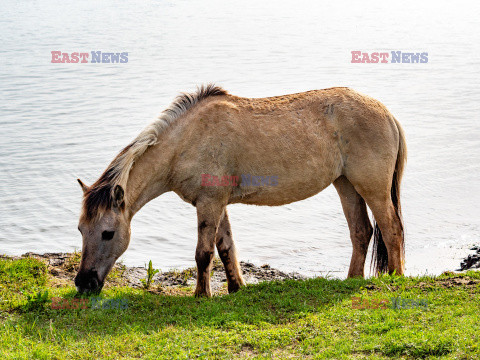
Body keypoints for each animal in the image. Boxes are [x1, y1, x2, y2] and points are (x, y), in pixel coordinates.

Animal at [74, 85, 404, 298]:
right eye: (80, 229)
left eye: (108, 233)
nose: (83, 283)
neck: (186, 141)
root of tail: (387, 114)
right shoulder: (215, 203)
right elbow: (225, 247)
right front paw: (235, 288)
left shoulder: (209, 203)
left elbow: (204, 253)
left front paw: (202, 295)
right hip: (346, 185)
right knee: (361, 231)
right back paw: (352, 281)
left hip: (372, 188)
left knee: (391, 229)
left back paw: (396, 278)